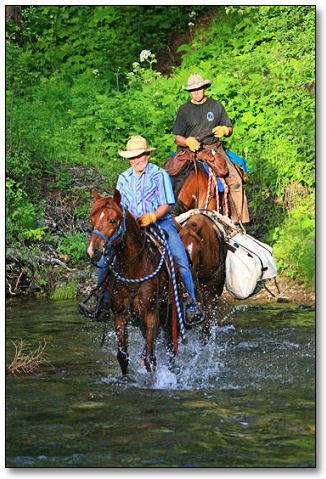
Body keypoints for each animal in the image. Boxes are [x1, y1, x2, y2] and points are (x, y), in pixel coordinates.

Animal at [85, 189, 174, 376]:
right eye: (93, 219)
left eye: (112, 220)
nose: (92, 251)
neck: (134, 267)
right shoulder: (120, 316)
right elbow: (122, 357)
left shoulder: (151, 315)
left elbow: (150, 359)